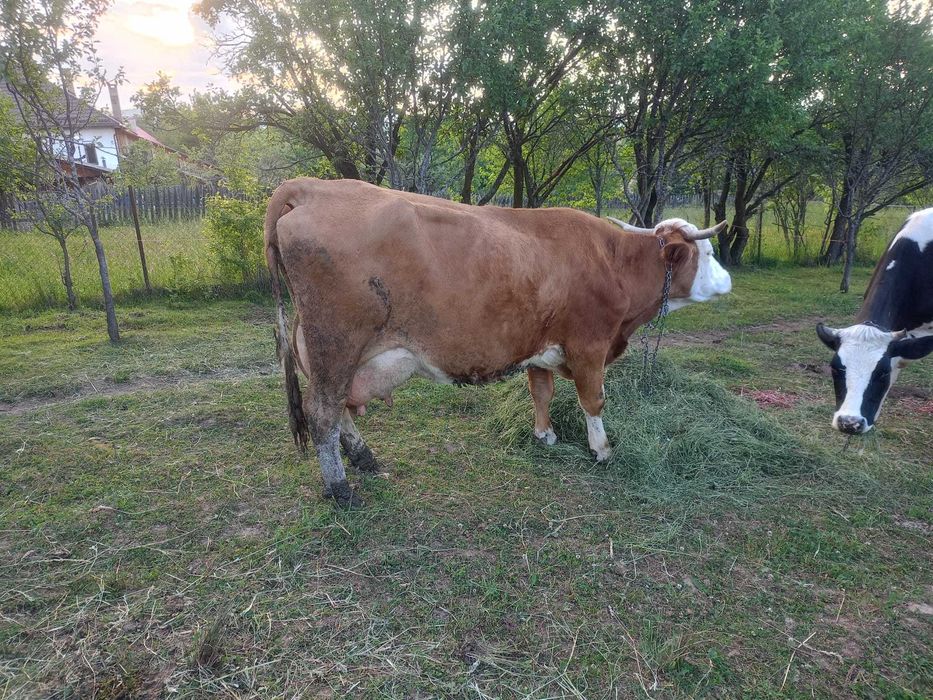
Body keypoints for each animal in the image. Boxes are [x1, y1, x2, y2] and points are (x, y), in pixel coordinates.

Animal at [264, 177, 732, 506]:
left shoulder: (541, 346)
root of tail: (311, 186)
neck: (611, 261)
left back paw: (364, 458)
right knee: (322, 412)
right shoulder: (589, 345)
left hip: (326, 351)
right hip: (336, 344)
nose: (728, 281)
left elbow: (541, 391)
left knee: (338, 406)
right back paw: (340, 488)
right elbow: (593, 400)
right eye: (708, 254)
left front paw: (544, 435)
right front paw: (601, 450)